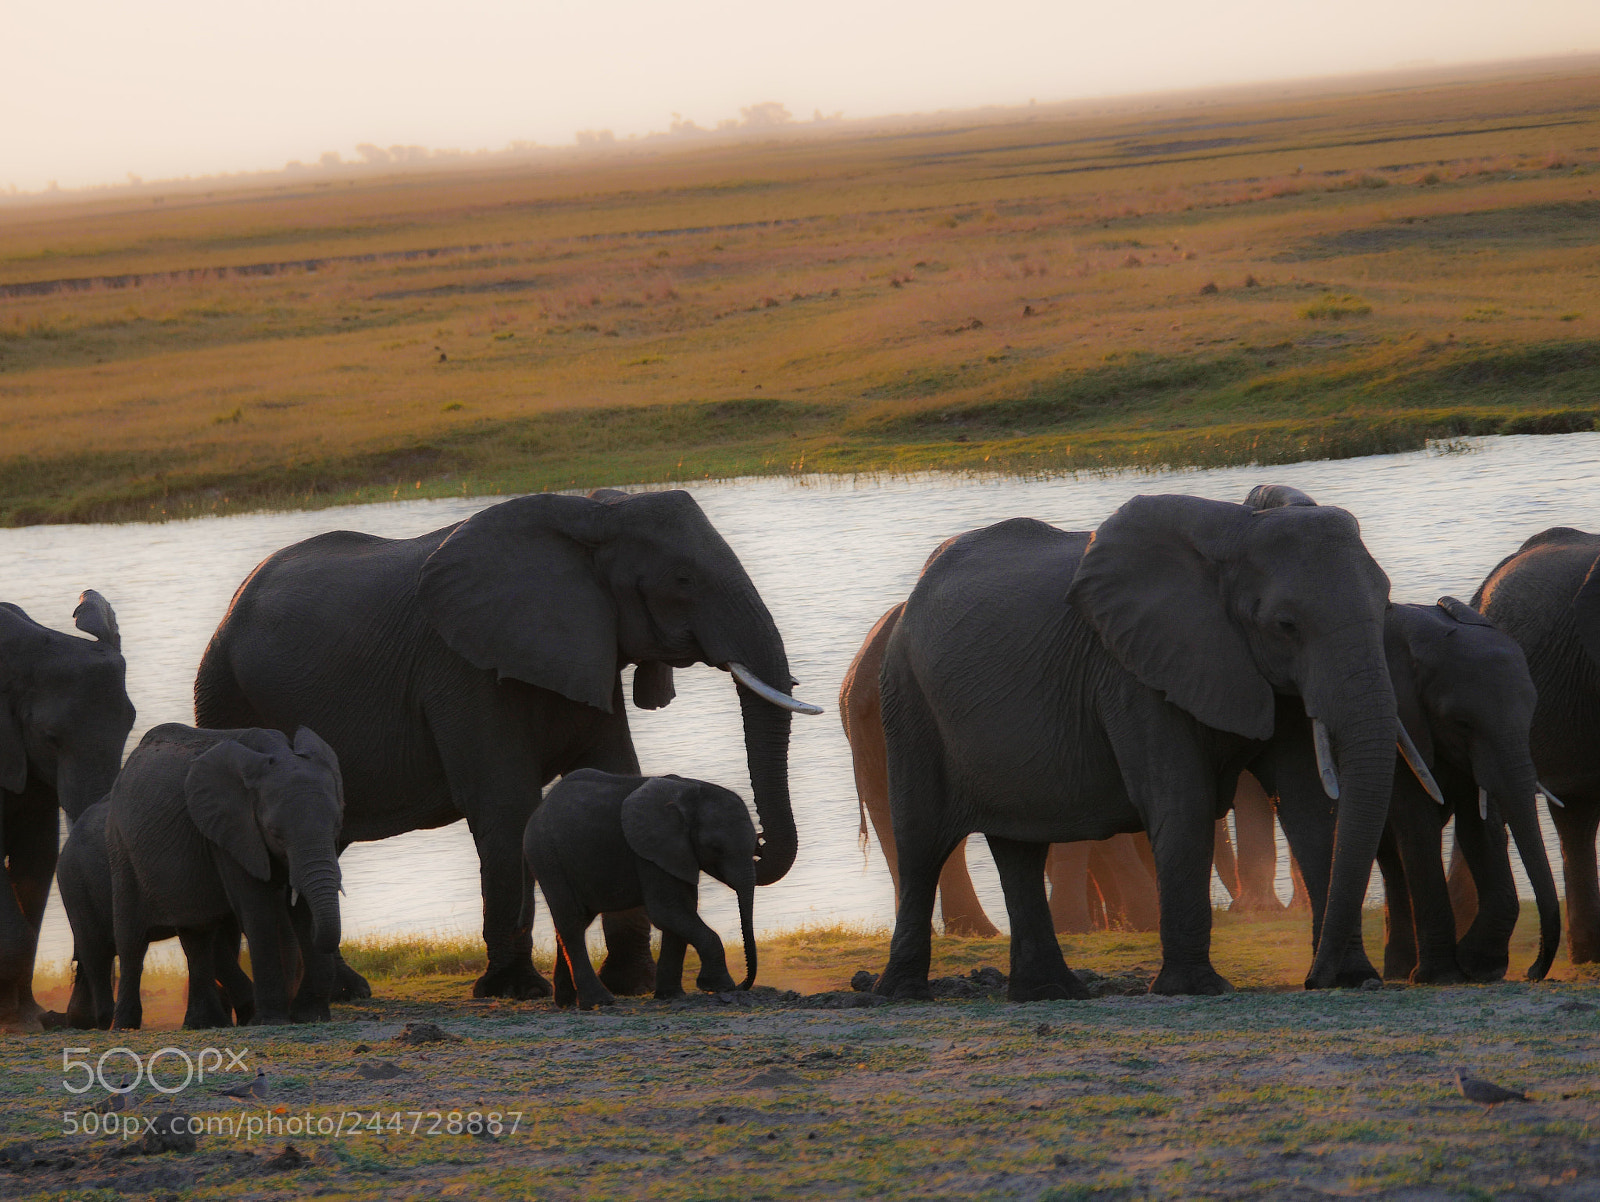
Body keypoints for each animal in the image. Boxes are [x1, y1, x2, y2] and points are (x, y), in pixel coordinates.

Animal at [0, 590, 136, 1029]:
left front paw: (29, 1016)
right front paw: (18, 1022)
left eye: (131, 724)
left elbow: (38, 857)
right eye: (50, 737)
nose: (76, 1017)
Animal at [107, 723, 344, 1029]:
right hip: (121, 849)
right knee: (132, 941)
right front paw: (269, 1021)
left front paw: (310, 1016)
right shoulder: (229, 833)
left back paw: (203, 1023)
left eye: (337, 824)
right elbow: (256, 910)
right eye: (275, 833)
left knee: (196, 935)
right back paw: (125, 1026)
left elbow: (303, 911)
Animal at [521, 769, 757, 1010]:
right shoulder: (650, 851)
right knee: (572, 923)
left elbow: (682, 910)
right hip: (547, 858)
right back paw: (600, 1001)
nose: (743, 985)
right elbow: (667, 911)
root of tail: (537, 811)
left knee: (573, 922)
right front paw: (720, 986)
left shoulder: (675, 854)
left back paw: (566, 1002)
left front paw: (671, 995)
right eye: (716, 848)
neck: (691, 792)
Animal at [874, 494, 1401, 1001]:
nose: (1314, 979)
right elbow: (1182, 801)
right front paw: (1196, 989)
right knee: (921, 842)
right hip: (907, 700)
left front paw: (1353, 977)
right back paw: (902, 994)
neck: (1238, 531)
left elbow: (1308, 805)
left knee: (1019, 850)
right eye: (1285, 624)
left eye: (1387, 606)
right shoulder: (1132, 671)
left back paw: (1050, 992)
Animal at [1241, 483, 1562, 984]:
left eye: (1530, 716)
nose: (1533, 971)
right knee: (1393, 854)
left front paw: (1480, 966)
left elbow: (1481, 825)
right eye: (1462, 722)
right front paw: (1446, 975)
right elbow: (1418, 823)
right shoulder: (1408, 725)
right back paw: (1400, 971)